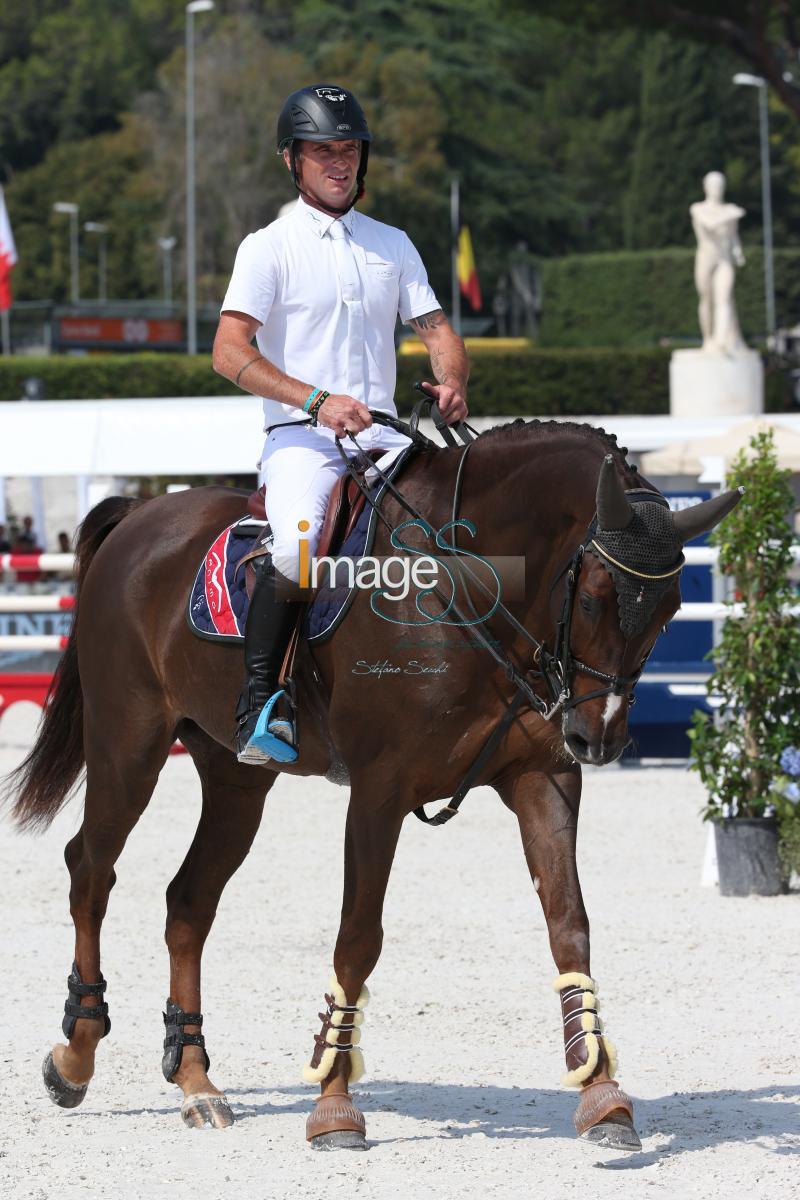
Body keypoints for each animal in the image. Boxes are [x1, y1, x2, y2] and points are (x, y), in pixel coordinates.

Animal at [6, 422, 743, 1152]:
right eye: (591, 596)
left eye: (672, 609)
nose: (599, 738)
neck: (469, 590)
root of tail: (141, 514)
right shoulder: (379, 789)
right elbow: (358, 937)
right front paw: (333, 1105)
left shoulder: (544, 777)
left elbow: (570, 924)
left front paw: (602, 1095)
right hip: (129, 748)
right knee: (90, 870)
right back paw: (76, 1054)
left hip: (236, 781)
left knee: (188, 902)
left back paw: (195, 1082)